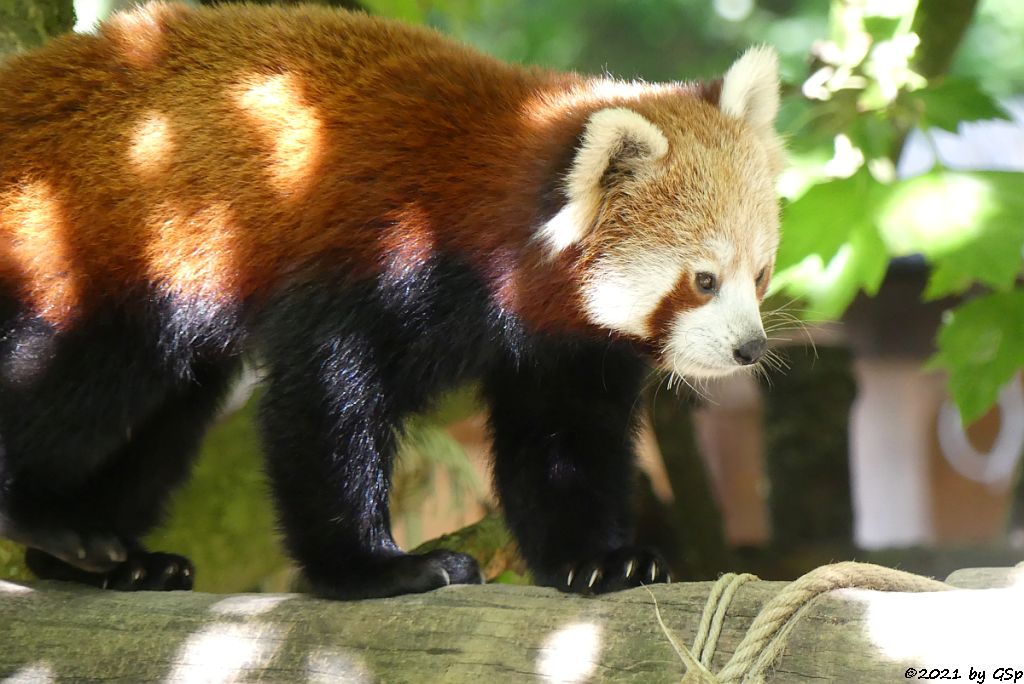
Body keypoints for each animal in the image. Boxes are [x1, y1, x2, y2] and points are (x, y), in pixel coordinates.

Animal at [0, 2, 778, 593]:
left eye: (761, 274)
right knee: (85, 380)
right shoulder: (379, 255)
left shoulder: (563, 344)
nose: (751, 348)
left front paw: (599, 560)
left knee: (168, 411)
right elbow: (326, 404)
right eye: (704, 280)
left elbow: (562, 442)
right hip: (101, 255)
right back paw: (50, 522)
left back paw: (104, 558)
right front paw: (372, 569)